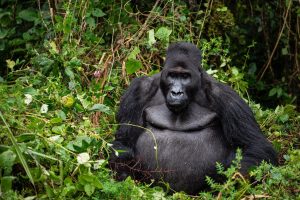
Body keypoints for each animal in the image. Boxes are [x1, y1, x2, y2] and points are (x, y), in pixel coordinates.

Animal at [109, 41, 276, 194]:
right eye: (172, 75)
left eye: (185, 76)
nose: (176, 92)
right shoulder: (138, 90)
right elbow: (124, 141)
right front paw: (124, 174)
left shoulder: (227, 96)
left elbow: (255, 145)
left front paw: (231, 183)